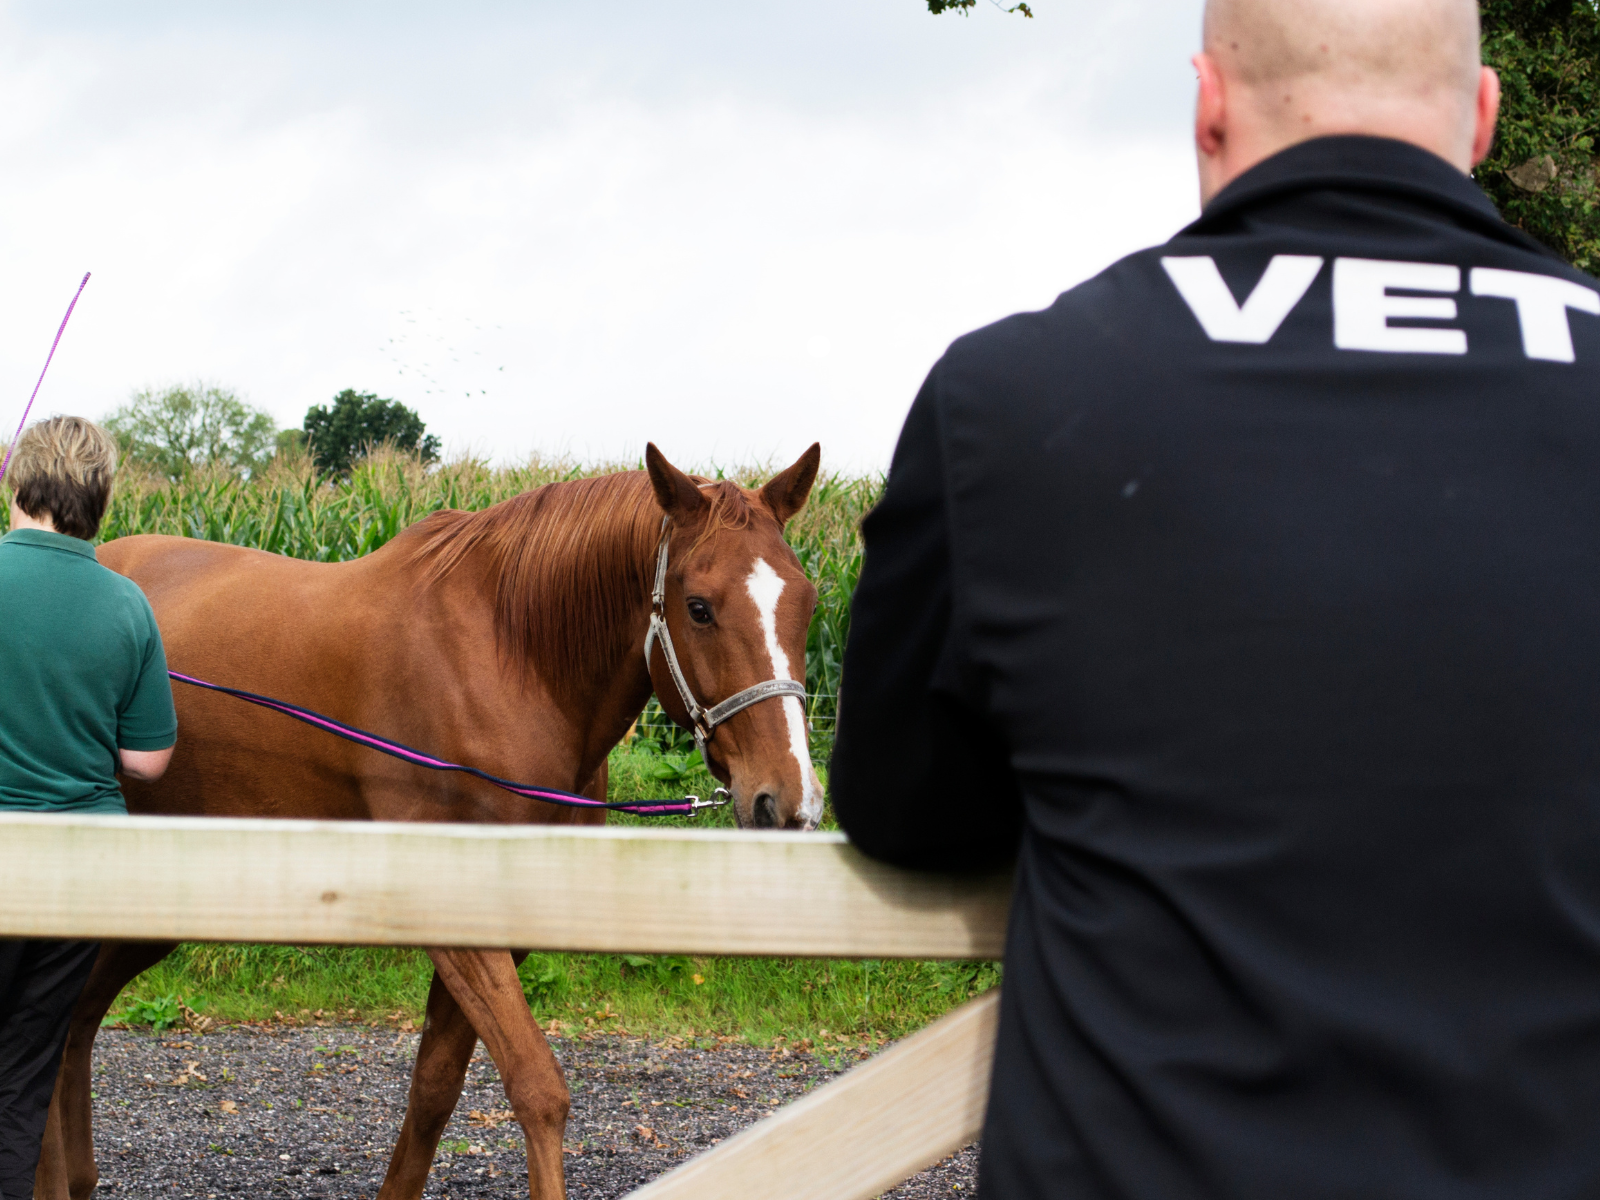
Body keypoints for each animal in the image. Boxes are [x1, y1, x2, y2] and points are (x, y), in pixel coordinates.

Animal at [34, 443, 825, 1200]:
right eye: (698, 606)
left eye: (808, 600)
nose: (788, 802)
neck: (507, 658)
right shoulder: (454, 916)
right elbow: (538, 1089)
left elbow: (436, 1088)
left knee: (76, 1020)